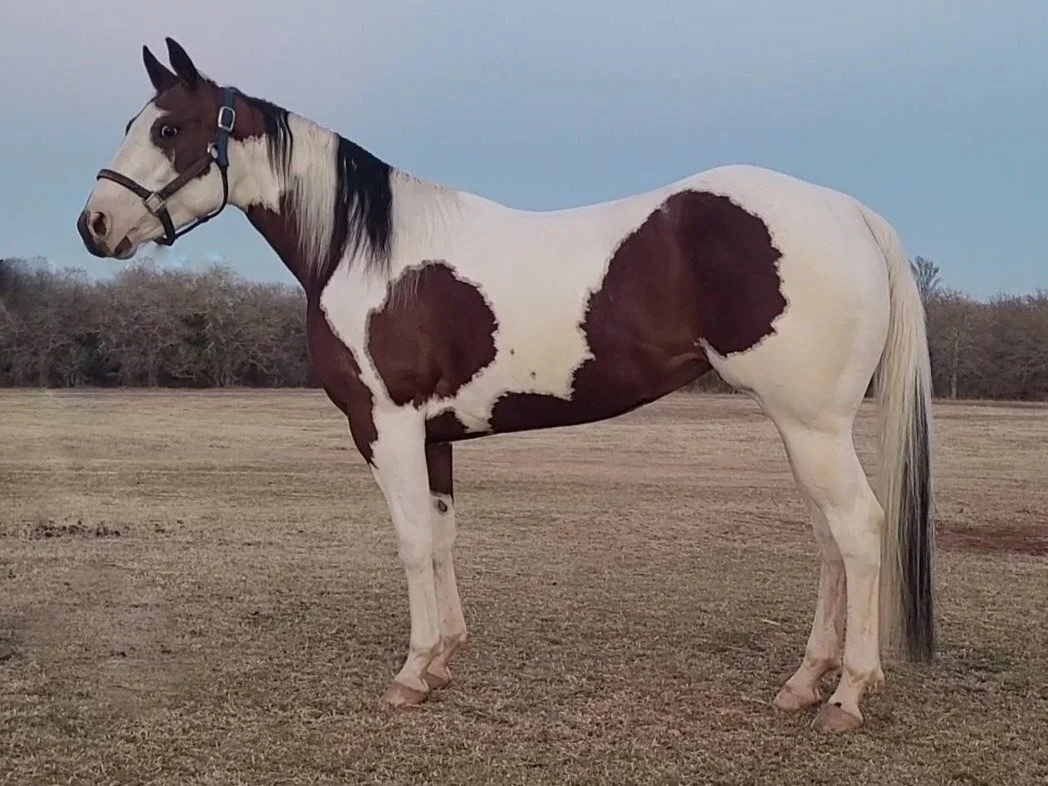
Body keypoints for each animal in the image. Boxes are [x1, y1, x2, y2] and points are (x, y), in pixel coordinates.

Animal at [76, 38, 935, 733]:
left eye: (167, 130)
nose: (94, 225)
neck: (366, 250)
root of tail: (850, 212)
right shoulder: (434, 436)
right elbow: (443, 536)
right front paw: (442, 660)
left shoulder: (385, 426)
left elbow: (410, 540)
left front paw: (409, 673)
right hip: (804, 427)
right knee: (828, 539)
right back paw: (803, 683)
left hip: (811, 424)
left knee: (857, 530)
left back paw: (846, 697)